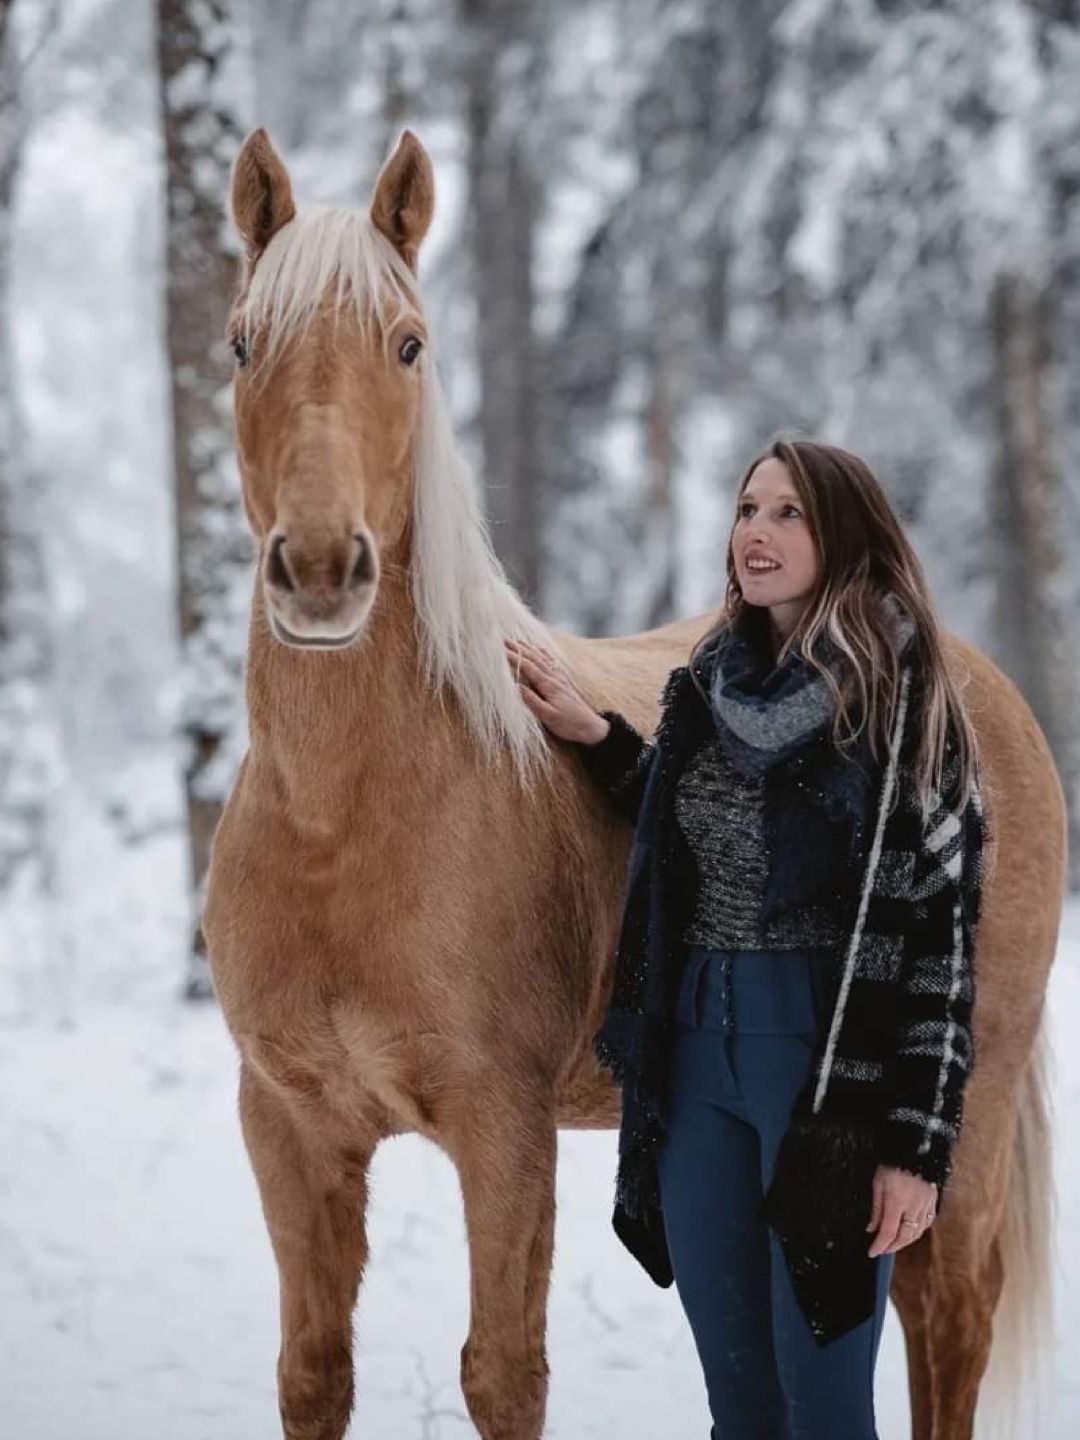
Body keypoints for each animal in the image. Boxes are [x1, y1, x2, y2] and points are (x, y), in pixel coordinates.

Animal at [207, 126, 1071, 1440]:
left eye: (408, 346)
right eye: (243, 342)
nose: (317, 570)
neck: (346, 829)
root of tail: (980, 683)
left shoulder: (504, 1134)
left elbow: (504, 1373)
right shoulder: (289, 1127)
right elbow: (315, 1374)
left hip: (960, 1130)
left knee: (946, 1320)